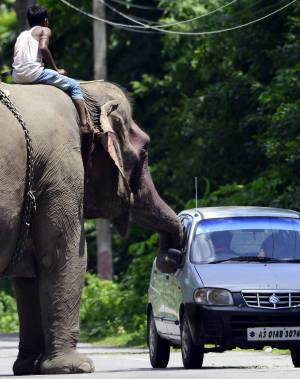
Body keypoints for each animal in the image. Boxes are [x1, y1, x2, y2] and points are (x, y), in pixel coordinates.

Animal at [0, 81, 183, 378]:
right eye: (145, 150)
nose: (170, 258)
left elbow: (29, 272)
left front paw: (29, 368)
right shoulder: (61, 170)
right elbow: (63, 256)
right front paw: (75, 367)